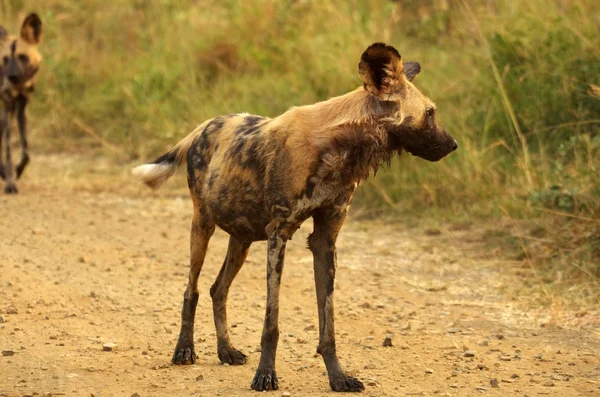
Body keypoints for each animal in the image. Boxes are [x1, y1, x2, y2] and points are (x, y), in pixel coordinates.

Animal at [134, 42, 458, 390]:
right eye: (430, 113)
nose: (454, 144)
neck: (337, 150)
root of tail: (205, 124)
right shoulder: (279, 234)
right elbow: (271, 323)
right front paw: (265, 374)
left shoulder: (324, 241)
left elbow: (328, 326)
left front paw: (338, 377)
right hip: (203, 226)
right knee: (191, 289)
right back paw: (184, 349)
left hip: (242, 240)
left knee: (217, 289)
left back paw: (226, 350)